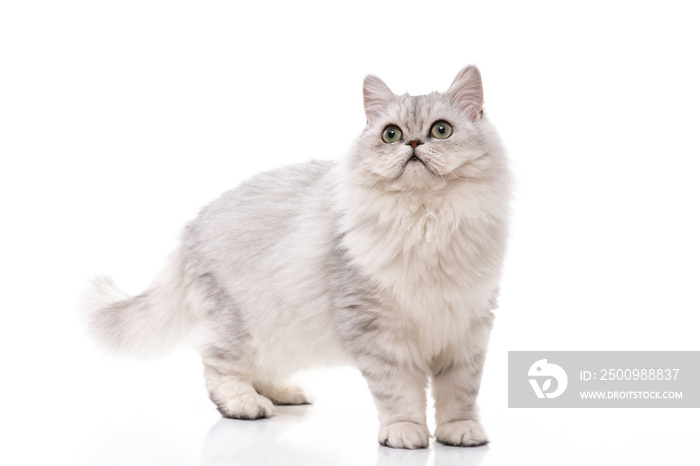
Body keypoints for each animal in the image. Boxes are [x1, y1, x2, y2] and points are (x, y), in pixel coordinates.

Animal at [85, 65, 512, 448]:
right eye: (391, 134)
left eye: (441, 130)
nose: (413, 145)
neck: (425, 222)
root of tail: (191, 229)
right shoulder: (379, 333)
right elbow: (400, 394)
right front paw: (404, 433)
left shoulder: (467, 330)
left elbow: (459, 394)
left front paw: (460, 432)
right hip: (241, 327)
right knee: (217, 366)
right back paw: (246, 404)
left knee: (259, 370)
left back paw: (285, 393)